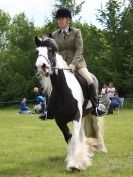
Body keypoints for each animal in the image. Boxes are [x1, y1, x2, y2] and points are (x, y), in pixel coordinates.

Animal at [34, 36, 107, 171]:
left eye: (50, 51)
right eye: (37, 51)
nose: (41, 66)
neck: (63, 90)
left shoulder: (76, 116)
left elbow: (74, 138)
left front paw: (75, 164)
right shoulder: (60, 120)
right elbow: (69, 137)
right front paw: (76, 160)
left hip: (92, 114)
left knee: (96, 129)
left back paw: (99, 149)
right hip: (83, 116)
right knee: (82, 135)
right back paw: (87, 152)